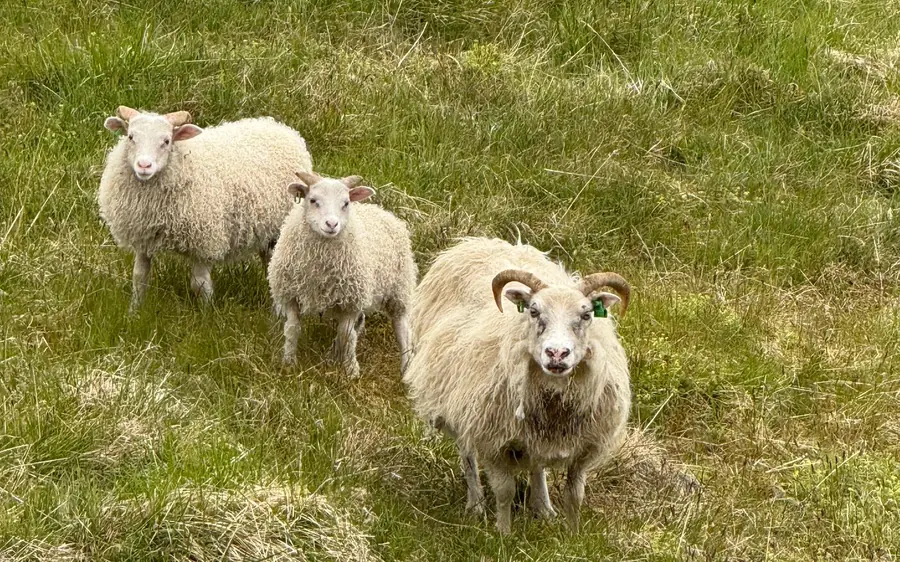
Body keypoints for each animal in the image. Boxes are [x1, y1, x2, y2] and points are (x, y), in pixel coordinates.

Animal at [98, 105, 313, 312]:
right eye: (130, 137)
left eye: (166, 141)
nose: (144, 165)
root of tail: (279, 128)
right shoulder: (144, 237)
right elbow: (139, 277)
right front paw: (134, 311)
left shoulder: (203, 240)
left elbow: (200, 284)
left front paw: (206, 314)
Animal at [267, 171, 417, 378]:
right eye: (313, 200)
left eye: (345, 203)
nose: (332, 224)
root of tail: (381, 210)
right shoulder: (292, 295)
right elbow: (292, 329)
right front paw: (288, 363)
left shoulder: (351, 301)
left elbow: (347, 335)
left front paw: (351, 370)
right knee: (356, 325)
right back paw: (334, 354)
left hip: (398, 289)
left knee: (402, 329)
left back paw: (406, 367)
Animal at [402, 237, 631, 534]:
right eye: (534, 311)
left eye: (587, 315)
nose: (557, 353)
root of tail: (478, 242)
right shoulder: (492, 440)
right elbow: (505, 492)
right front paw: (503, 533)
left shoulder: (585, 447)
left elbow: (575, 495)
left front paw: (573, 534)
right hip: (456, 401)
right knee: (467, 454)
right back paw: (476, 504)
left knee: (536, 464)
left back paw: (543, 507)